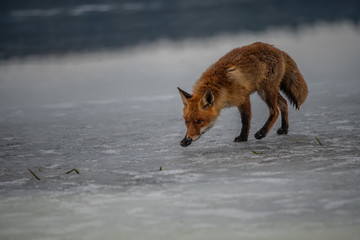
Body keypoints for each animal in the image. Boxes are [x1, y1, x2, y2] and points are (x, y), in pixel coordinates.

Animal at [177, 41, 306, 146]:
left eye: (199, 121)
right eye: (187, 121)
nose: (189, 139)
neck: (221, 88)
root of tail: (277, 49)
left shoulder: (243, 98)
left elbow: (245, 120)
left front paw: (243, 137)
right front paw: (184, 140)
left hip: (266, 91)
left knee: (275, 111)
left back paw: (262, 132)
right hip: (266, 90)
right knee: (284, 103)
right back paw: (284, 129)